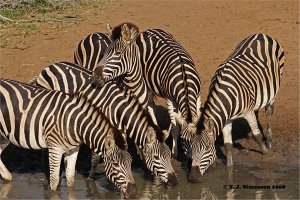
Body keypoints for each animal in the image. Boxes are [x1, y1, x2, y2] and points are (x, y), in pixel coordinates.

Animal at [0, 77, 137, 198]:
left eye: (130, 162)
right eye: (115, 164)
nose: (133, 192)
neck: (75, 123)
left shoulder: (73, 149)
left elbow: (71, 180)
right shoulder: (55, 148)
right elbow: (54, 182)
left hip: (4, 135)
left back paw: (7, 177)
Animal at [34, 61, 177, 187]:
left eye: (169, 155)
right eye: (156, 157)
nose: (174, 182)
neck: (118, 109)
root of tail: (50, 66)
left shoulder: (120, 131)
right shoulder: (101, 127)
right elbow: (95, 158)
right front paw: (91, 178)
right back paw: (44, 167)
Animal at [92, 22, 203, 159]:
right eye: (185, 141)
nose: (192, 160)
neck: (184, 78)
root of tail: (151, 30)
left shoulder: (197, 95)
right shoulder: (169, 98)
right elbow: (175, 128)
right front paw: (174, 151)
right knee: (150, 105)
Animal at [189, 33, 284, 183]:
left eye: (207, 149)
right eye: (191, 148)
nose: (192, 178)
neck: (227, 97)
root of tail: (261, 34)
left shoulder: (248, 112)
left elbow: (258, 136)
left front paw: (266, 153)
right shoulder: (226, 119)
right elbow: (228, 145)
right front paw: (229, 167)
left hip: (274, 88)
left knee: (269, 111)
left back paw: (268, 139)